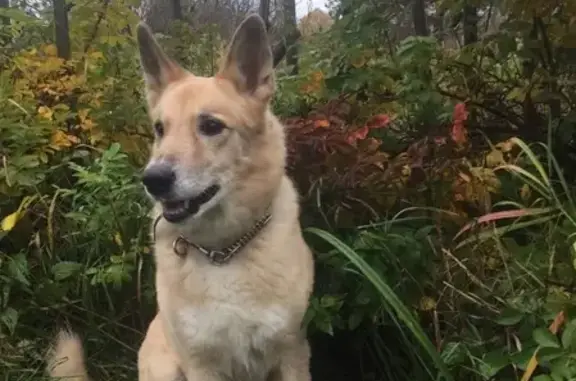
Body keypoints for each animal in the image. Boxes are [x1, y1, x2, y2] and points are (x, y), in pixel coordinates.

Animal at [46, 13, 316, 378]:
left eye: (211, 126)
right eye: (160, 129)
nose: (153, 180)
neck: (223, 251)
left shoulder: (292, 354)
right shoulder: (201, 365)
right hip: (166, 366)